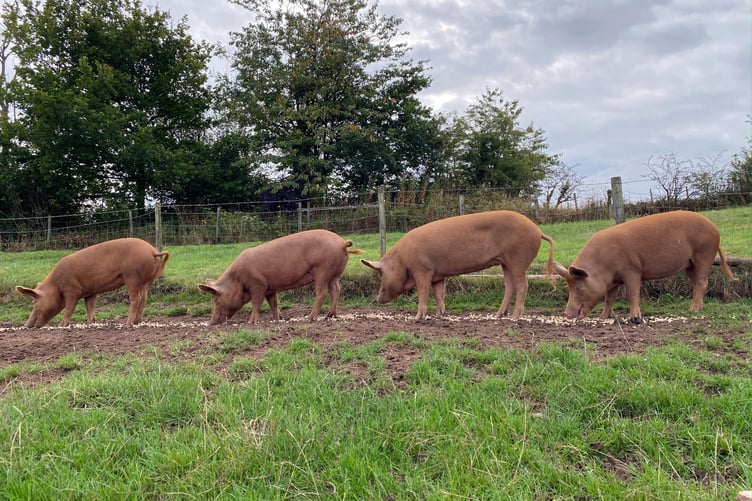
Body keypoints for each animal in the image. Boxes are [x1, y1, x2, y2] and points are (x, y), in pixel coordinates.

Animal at [16, 238, 170, 327]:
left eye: (34, 302)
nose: (26, 325)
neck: (56, 284)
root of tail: (152, 251)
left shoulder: (72, 290)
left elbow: (69, 307)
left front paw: (62, 325)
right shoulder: (90, 292)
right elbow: (90, 306)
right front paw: (90, 323)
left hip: (132, 276)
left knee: (136, 299)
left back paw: (127, 323)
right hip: (147, 280)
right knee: (144, 298)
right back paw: (137, 321)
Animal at [198, 229, 364, 324]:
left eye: (216, 300)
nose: (211, 323)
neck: (237, 279)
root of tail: (342, 243)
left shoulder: (258, 285)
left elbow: (256, 303)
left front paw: (250, 322)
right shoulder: (270, 289)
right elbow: (274, 303)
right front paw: (278, 319)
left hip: (322, 270)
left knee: (322, 293)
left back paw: (309, 318)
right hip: (334, 274)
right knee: (336, 290)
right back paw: (330, 316)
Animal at [361, 210, 555, 320]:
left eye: (380, 273)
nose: (377, 299)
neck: (402, 259)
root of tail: (538, 230)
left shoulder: (422, 270)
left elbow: (423, 292)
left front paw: (417, 318)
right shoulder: (438, 276)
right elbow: (439, 294)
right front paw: (440, 315)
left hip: (518, 260)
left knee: (523, 286)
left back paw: (515, 318)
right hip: (505, 263)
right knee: (509, 286)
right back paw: (498, 315)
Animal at [553, 210, 737, 323]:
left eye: (578, 287)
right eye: (568, 288)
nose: (567, 314)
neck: (603, 266)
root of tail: (715, 229)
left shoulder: (632, 270)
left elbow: (632, 293)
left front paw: (635, 318)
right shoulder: (613, 280)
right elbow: (609, 298)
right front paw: (603, 317)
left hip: (703, 254)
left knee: (702, 282)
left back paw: (693, 310)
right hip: (689, 264)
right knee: (697, 283)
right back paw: (696, 307)